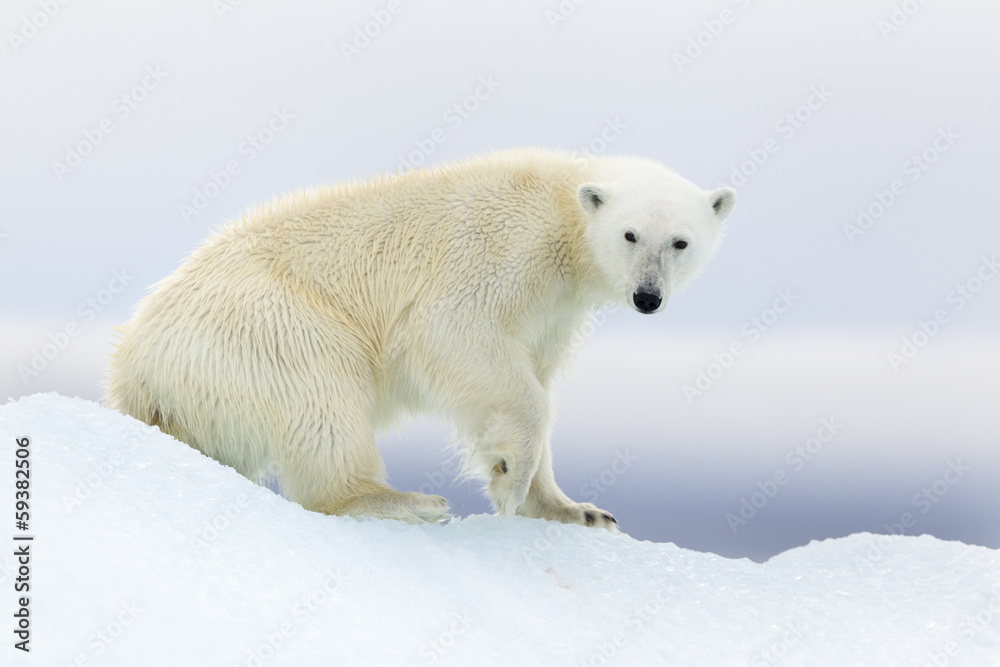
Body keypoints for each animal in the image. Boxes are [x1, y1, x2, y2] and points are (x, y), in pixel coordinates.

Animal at [106, 148, 735, 532]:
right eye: (630, 234)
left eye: (680, 242)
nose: (648, 297)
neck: (562, 213)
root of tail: (134, 369)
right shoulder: (497, 252)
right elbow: (456, 336)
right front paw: (510, 480)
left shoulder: (553, 313)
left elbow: (532, 376)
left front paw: (573, 509)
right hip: (268, 322)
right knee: (323, 396)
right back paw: (402, 501)